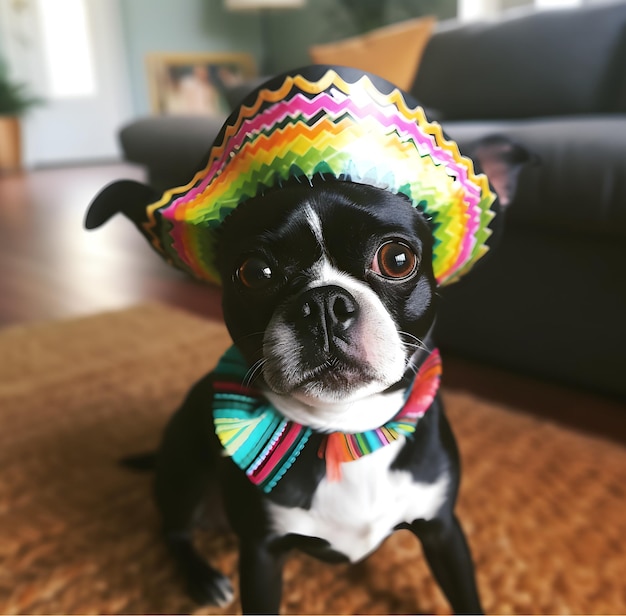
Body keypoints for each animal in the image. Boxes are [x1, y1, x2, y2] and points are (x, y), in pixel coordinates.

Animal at [86, 65, 528, 612]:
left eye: (397, 259)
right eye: (254, 272)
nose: (324, 304)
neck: (346, 430)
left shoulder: (443, 530)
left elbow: (466, 594)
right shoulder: (261, 553)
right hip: (185, 471)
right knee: (172, 530)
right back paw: (202, 578)